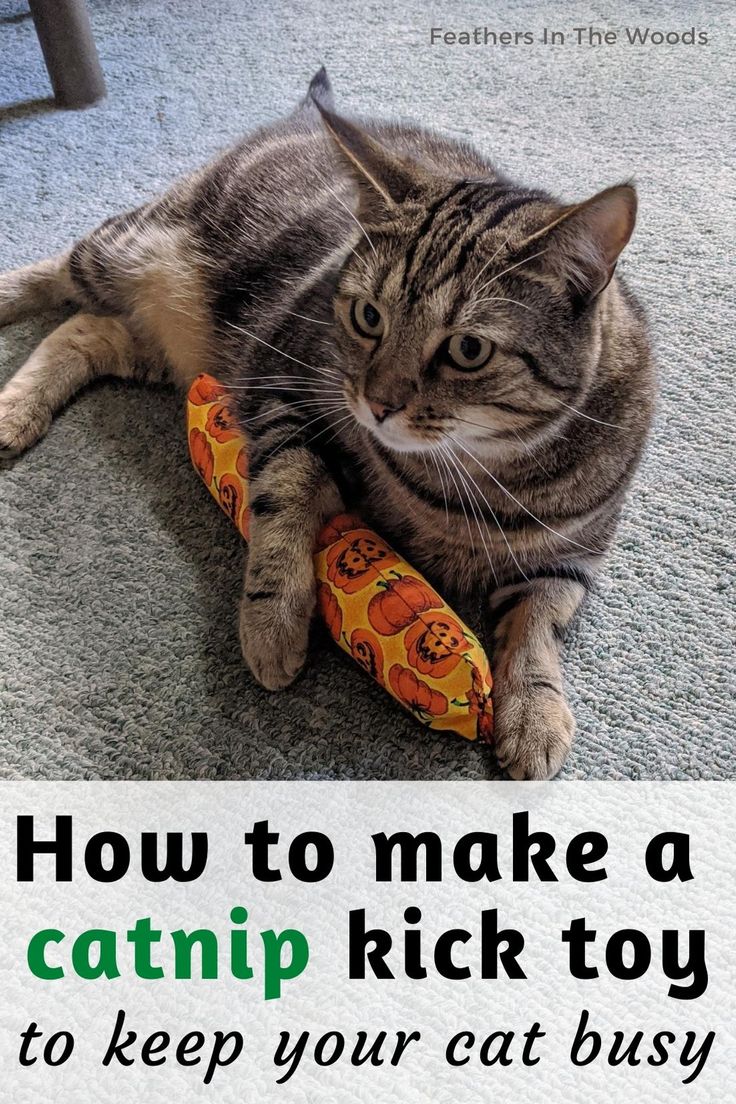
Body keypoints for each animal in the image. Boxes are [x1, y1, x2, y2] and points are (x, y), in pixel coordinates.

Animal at [0, 71, 657, 777]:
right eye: (368, 316)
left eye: (467, 350)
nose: (378, 402)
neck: (470, 477)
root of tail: (302, 116)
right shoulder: (278, 388)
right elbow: (286, 498)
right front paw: (273, 621)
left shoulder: (574, 553)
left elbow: (540, 621)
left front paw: (534, 707)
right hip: (125, 253)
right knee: (55, 274)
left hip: (162, 343)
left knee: (83, 330)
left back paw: (18, 407)